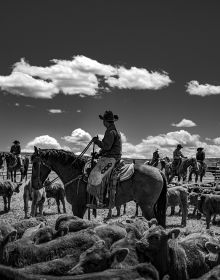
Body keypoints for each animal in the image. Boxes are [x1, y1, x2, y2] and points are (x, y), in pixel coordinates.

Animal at [31, 147, 168, 228]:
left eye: (35, 164)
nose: (34, 185)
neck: (76, 173)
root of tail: (158, 171)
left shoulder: (77, 206)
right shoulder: (82, 207)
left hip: (147, 206)